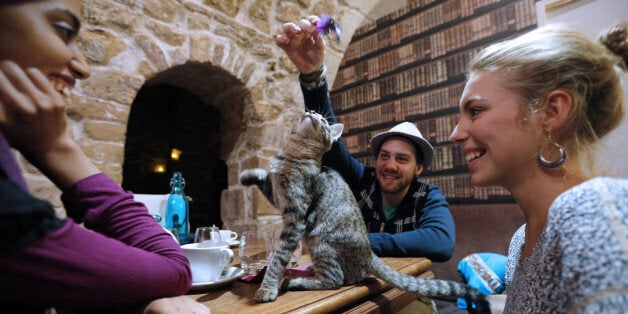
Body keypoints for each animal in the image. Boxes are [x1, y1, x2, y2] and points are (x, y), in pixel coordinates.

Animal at [240, 110, 490, 312]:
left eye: (323, 120)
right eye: (311, 112)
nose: (311, 112)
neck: (292, 155)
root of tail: (370, 256)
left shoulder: (296, 216)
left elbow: (278, 257)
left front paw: (267, 287)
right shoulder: (278, 198)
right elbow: (265, 180)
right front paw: (248, 174)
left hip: (320, 242)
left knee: (335, 280)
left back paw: (293, 281)